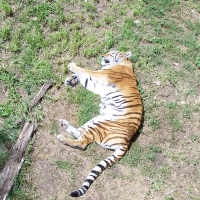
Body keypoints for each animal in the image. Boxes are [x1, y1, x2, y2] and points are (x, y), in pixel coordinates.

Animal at [57, 50, 143, 197]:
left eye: (112, 53)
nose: (103, 56)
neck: (124, 62)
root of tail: (126, 143)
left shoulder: (100, 76)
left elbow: (85, 71)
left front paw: (72, 66)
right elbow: (83, 76)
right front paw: (71, 80)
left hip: (99, 126)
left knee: (82, 143)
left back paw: (62, 138)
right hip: (96, 119)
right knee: (80, 133)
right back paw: (64, 124)